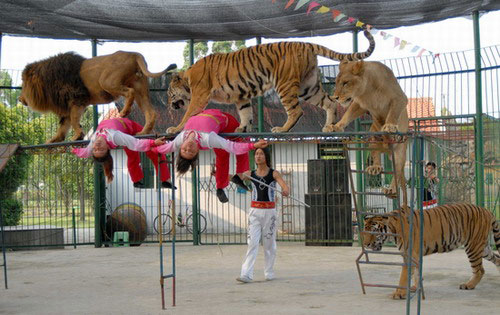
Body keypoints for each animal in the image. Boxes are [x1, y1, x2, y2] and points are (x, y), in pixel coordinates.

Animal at [19, 51, 176, 143]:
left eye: (23, 83)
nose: (20, 99)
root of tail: (134, 54)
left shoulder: (77, 100)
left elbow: (75, 121)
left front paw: (78, 136)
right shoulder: (71, 106)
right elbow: (63, 128)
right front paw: (52, 141)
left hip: (107, 81)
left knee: (129, 92)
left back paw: (124, 112)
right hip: (140, 90)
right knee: (151, 112)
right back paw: (143, 132)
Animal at [165, 28, 376, 135]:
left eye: (169, 94)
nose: (169, 105)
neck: (188, 78)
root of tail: (304, 43)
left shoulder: (199, 96)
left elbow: (188, 115)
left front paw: (175, 128)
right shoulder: (241, 97)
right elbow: (246, 113)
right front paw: (243, 128)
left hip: (285, 85)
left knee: (296, 111)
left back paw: (281, 129)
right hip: (308, 87)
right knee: (330, 102)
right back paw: (328, 127)